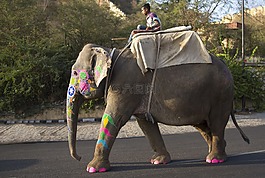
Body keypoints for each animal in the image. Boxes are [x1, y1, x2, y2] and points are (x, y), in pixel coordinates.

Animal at [65, 41, 248, 173]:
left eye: (74, 73)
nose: (79, 157)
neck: (110, 52)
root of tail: (226, 65)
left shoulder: (125, 85)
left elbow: (113, 118)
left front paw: (92, 168)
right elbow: (145, 123)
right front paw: (158, 161)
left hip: (221, 95)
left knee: (216, 122)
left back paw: (215, 159)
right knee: (203, 126)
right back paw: (214, 153)